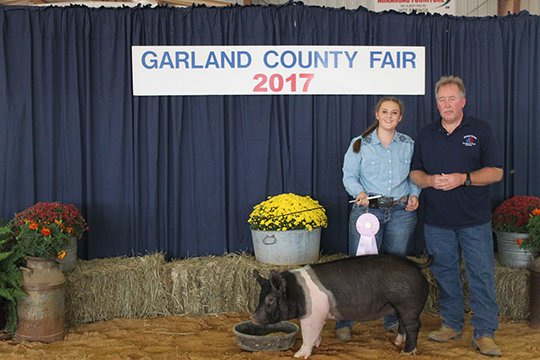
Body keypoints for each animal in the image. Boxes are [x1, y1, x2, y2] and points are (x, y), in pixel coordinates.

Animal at [250, 255, 430, 358]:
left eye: (270, 299)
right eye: (260, 297)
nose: (252, 317)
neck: (297, 293)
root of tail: (417, 266)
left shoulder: (312, 315)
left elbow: (308, 334)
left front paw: (298, 355)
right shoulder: (320, 315)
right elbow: (317, 333)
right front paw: (317, 344)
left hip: (408, 303)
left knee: (414, 325)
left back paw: (407, 351)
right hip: (400, 306)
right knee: (403, 323)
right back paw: (397, 342)